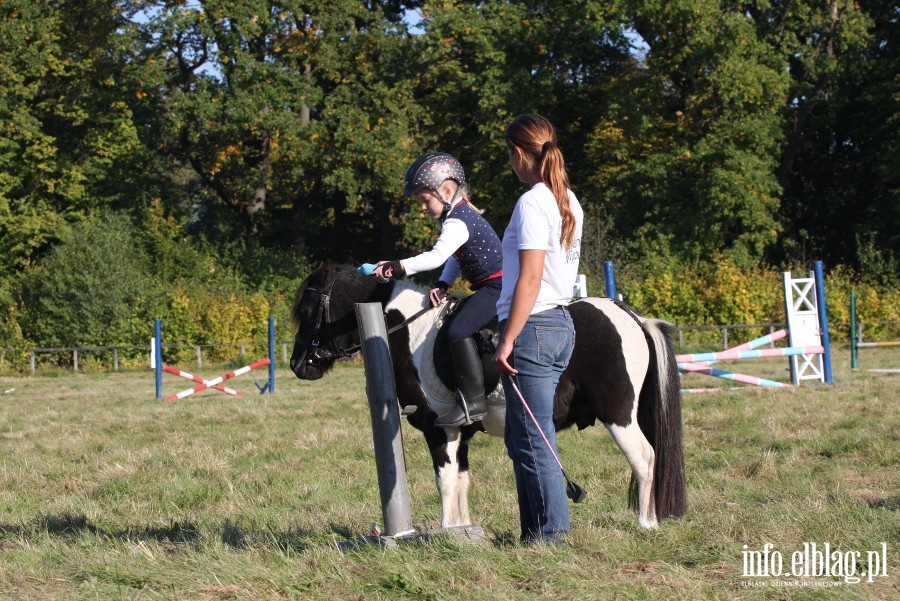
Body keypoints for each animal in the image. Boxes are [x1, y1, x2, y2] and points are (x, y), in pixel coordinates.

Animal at [292, 260, 684, 528]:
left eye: (308, 310)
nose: (298, 364)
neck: (411, 332)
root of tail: (631, 317)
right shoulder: (460, 433)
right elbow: (461, 481)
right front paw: (462, 530)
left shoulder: (439, 429)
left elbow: (445, 481)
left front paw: (446, 531)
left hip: (619, 415)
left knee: (645, 458)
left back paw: (646, 524)